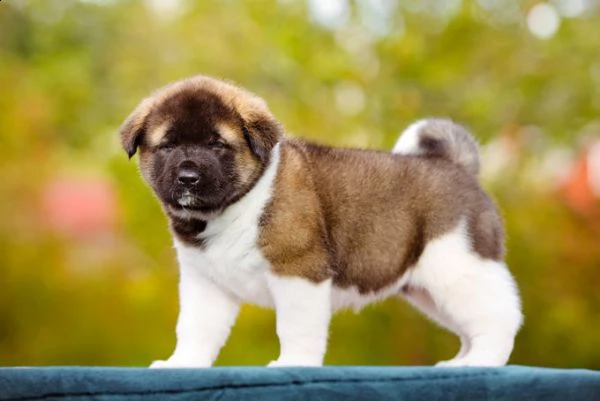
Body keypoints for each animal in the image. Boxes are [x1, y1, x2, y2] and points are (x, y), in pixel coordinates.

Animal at [118, 75, 520, 366]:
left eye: (217, 145)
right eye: (168, 146)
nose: (188, 177)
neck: (236, 206)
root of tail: (457, 166)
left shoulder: (298, 272)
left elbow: (296, 328)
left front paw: (292, 364)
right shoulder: (206, 285)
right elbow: (195, 330)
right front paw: (181, 364)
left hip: (458, 267)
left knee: (498, 319)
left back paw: (481, 363)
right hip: (429, 289)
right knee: (471, 326)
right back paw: (461, 362)